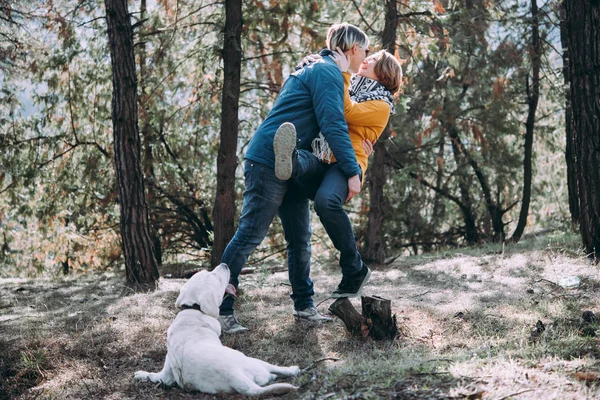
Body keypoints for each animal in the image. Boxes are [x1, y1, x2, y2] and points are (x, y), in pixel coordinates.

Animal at [135, 264, 300, 396]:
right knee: (275, 369)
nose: (225, 264)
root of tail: (234, 375)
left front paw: (140, 374)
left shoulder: (167, 374)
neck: (193, 309)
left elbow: (155, 376)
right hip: (253, 360)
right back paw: (293, 369)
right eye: (217, 278)